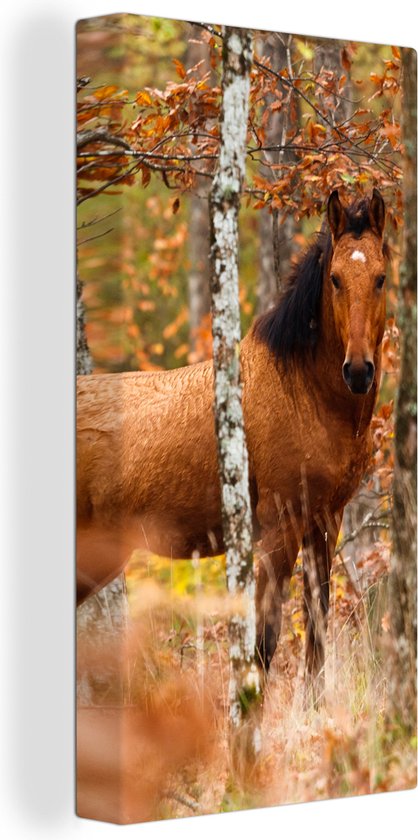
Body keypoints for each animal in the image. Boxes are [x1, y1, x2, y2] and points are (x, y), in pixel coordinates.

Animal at [77, 188, 388, 692]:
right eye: (336, 279)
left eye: (380, 278)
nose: (358, 370)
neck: (303, 392)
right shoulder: (279, 528)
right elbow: (263, 643)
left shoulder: (325, 521)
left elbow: (316, 639)